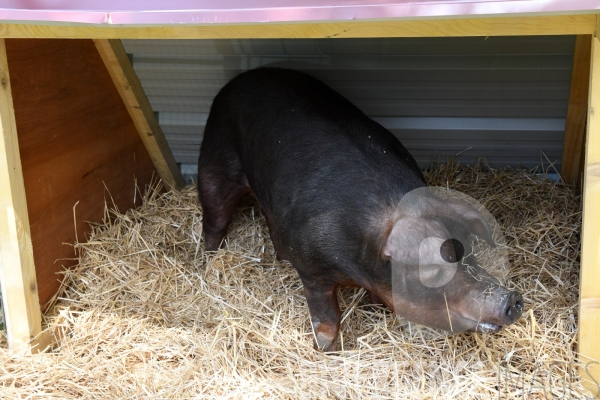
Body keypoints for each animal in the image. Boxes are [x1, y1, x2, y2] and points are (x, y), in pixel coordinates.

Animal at [199, 68, 524, 350]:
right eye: (433, 269)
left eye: (469, 249)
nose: (512, 298)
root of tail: (243, 77)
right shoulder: (312, 271)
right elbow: (326, 315)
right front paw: (325, 349)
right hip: (215, 162)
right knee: (214, 217)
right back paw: (207, 260)